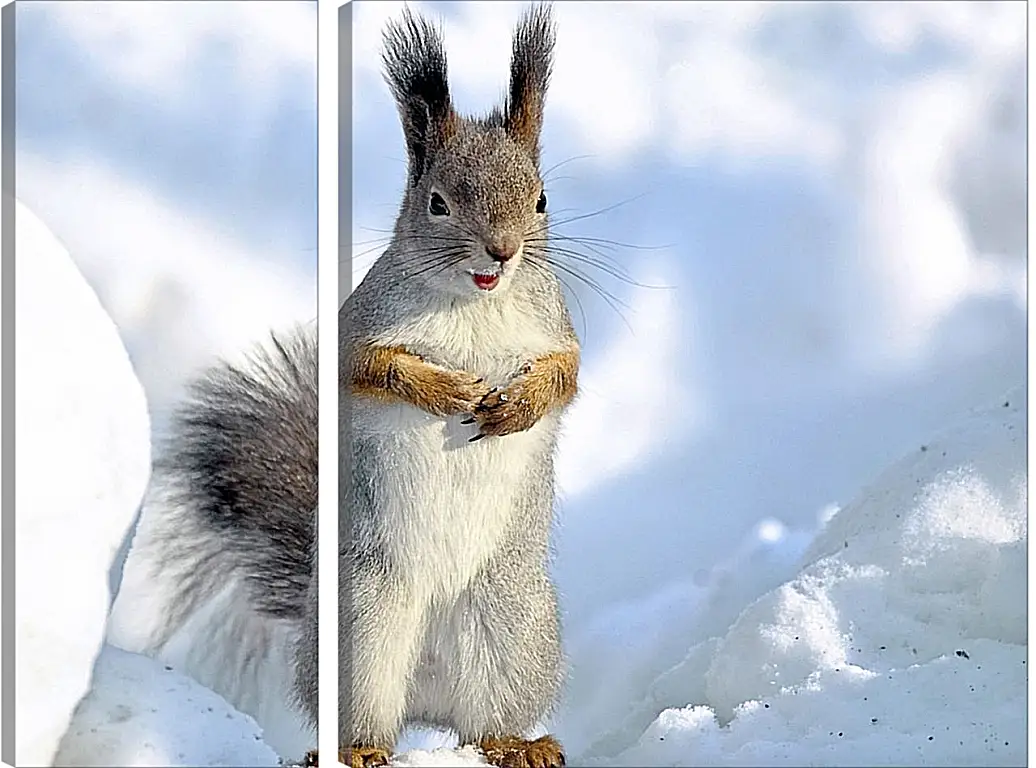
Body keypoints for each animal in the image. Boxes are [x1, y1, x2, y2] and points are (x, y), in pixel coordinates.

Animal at [111, 5, 584, 766]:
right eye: (437, 203)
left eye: (541, 199)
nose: (503, 251)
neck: (476, 302)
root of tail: (425, 698)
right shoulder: (357, 328)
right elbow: (373, 370)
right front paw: (445, 392)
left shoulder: (557, 328)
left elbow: (565, 378)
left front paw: (518, 406)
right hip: (362, 625)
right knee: (363, 715)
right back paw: (357, 749)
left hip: (510, 623)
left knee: (487, 718)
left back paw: (517, 743)